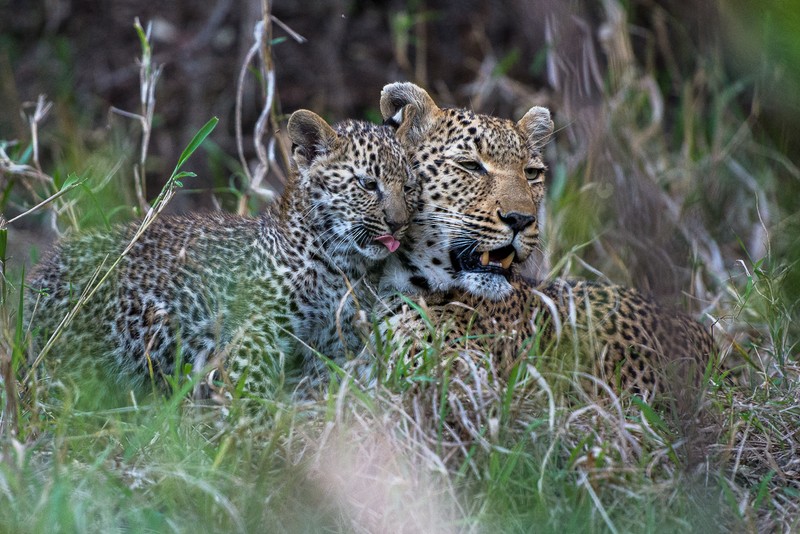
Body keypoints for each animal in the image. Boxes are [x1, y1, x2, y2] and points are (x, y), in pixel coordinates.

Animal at [25, 112, 416, 398]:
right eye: (368, 184)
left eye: (408, 186)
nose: (399, 224)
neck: (341, 266)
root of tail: (35, 278)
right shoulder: (255, 333)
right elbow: (249, 391)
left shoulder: (335, 343)